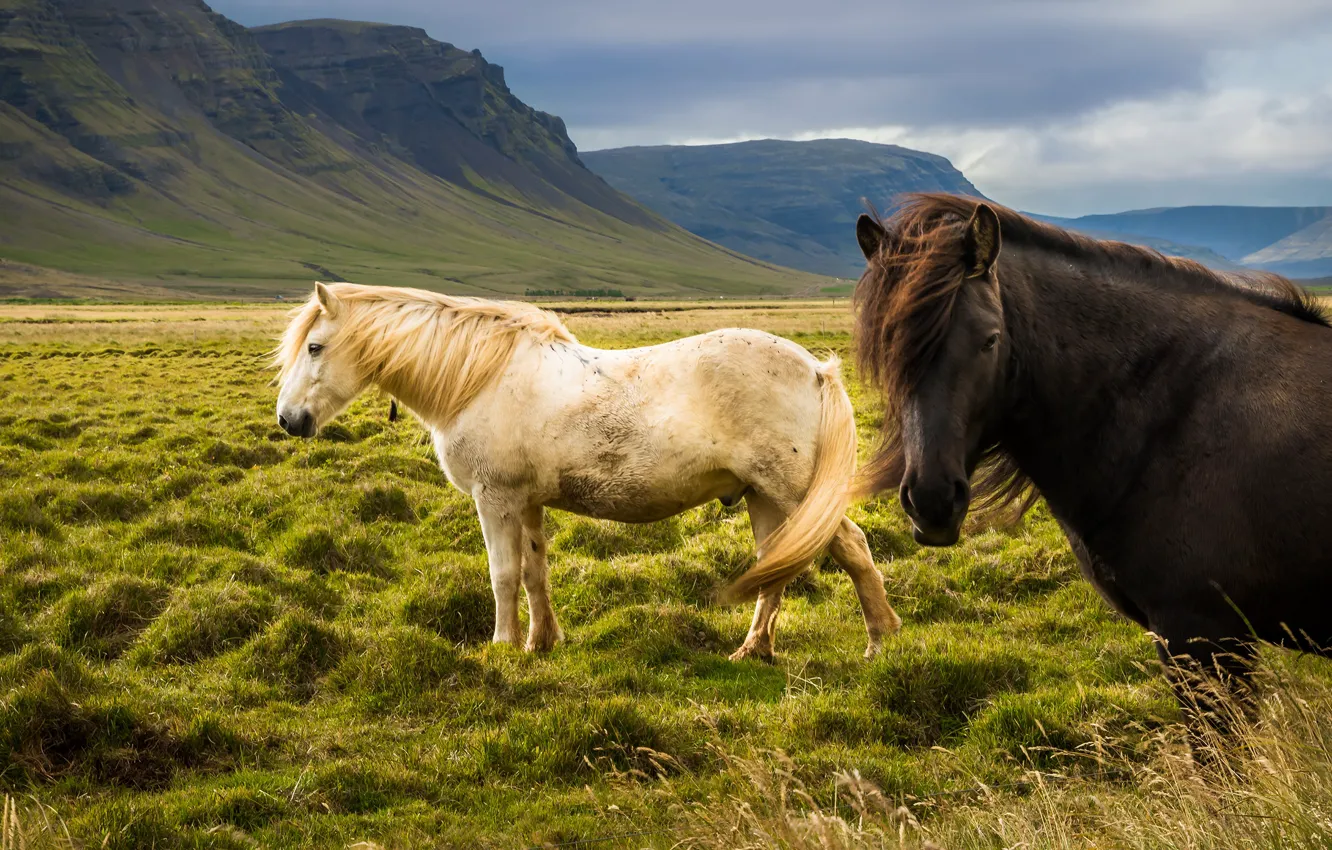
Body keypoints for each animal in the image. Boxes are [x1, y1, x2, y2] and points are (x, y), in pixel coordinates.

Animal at [274, 282, 900, 663]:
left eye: (314, 346)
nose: (288, 419)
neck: (481, 378)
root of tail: (816, 369)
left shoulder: (495, 500)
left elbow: (503, 575)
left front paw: (501, 646)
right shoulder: (526, 503)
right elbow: (534, 573)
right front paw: (540, 642)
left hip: (792, 491)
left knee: (852, 547)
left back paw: (880, 640)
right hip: (761, 496)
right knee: (777, 567)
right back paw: (754, 650)